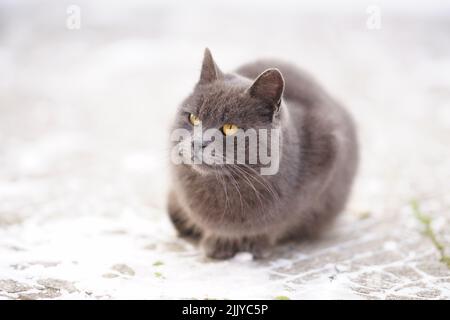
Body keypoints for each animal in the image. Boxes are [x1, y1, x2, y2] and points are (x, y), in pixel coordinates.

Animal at [167, 50, 356, 260]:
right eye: (193, 118)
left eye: (230, 128)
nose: (197, 142)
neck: (224, 184)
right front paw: (219, 240)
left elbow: (282, 221)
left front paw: (250, 242)